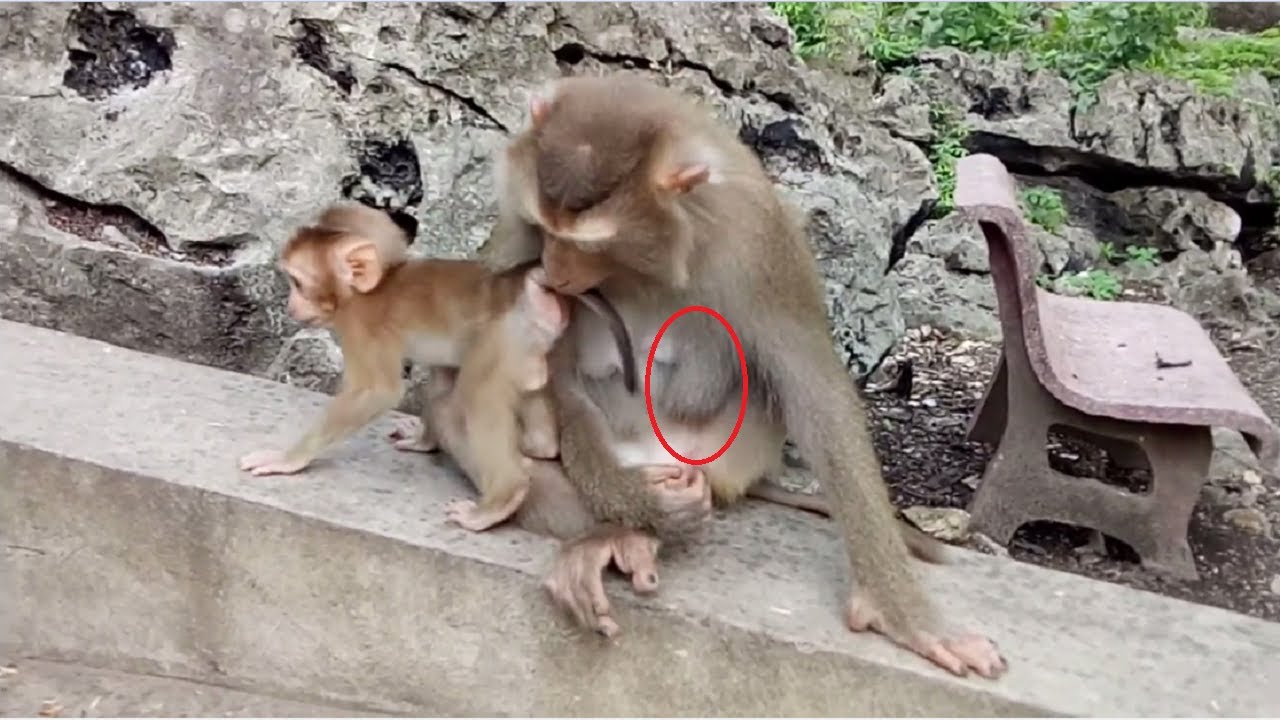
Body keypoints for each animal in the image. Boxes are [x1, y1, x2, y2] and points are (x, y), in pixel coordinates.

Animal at [236, 203, 639, 532]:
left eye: (297, 282)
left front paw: (288, 460)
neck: (375, 284)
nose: (290, 306)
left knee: (475, 393)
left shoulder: (360, 325)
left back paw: (500, 500)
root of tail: (525, 282)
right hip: (533, 340)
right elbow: (441, 377)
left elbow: (378, 391)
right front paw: (422, 440)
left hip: (505, 333)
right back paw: (540, 446)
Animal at [480, 74, 1005, 678]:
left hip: (726, 455)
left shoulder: (759, 236)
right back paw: (615, 535)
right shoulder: (517, 223)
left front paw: (903, 613)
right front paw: (641, 507)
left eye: (591, 245)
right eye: (548, 231)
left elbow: (815, 390)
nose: (557, 270)